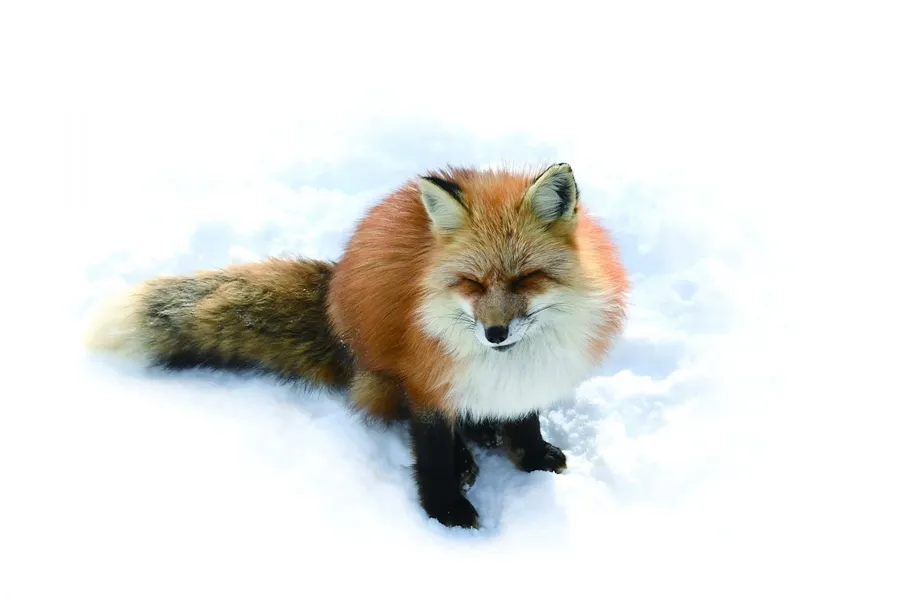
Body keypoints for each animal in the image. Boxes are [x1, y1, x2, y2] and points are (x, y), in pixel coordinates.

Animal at [83, 162, 629, 529]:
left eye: (526, 278)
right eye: (471, 283)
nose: (495, 333)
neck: (507, 362)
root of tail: (332, 309)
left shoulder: (528, 380)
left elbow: (525, 419)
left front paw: (530, 454)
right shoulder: (426, 383)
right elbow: (432, 453)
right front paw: (445, 510)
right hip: (383, 376)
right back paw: (468, 456)